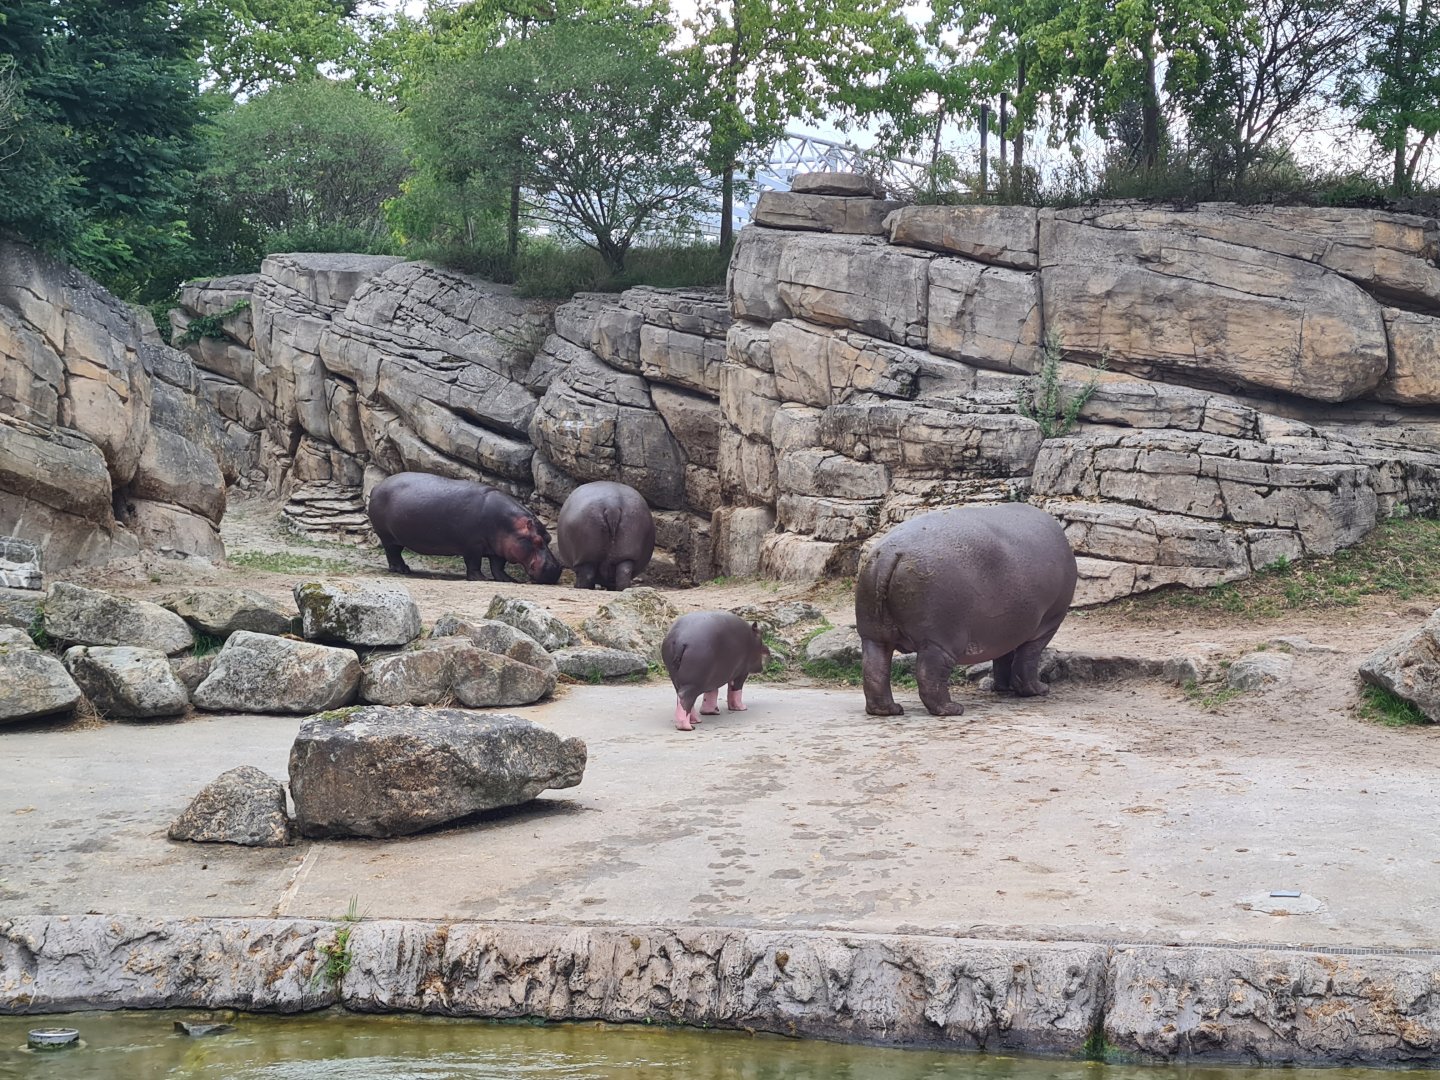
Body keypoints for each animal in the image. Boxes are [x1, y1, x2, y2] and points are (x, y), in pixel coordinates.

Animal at [367, 472, 562, 585]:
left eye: (548, 538)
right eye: (536, 540)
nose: (556, 569)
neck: (510, 525)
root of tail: (377, 486)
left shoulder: (499, 548)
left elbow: (498, 566)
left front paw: (508, 579)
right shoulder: (472, 546)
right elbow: (474, 563)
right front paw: (481, 579)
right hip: (388, 536)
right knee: (393, 553)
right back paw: (402, 569)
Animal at [855, 503, 1077, 718]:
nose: (1044, 689)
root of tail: (890, 554)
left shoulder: (1007, 629)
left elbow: (1004, 658)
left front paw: (1003, 688)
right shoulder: (1046, 625)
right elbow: (1027, 659)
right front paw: (1039, 690)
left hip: (874, 635)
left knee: (874, 669)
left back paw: (888, 710)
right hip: (940, 640)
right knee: (929, 673)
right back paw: (952, 709)